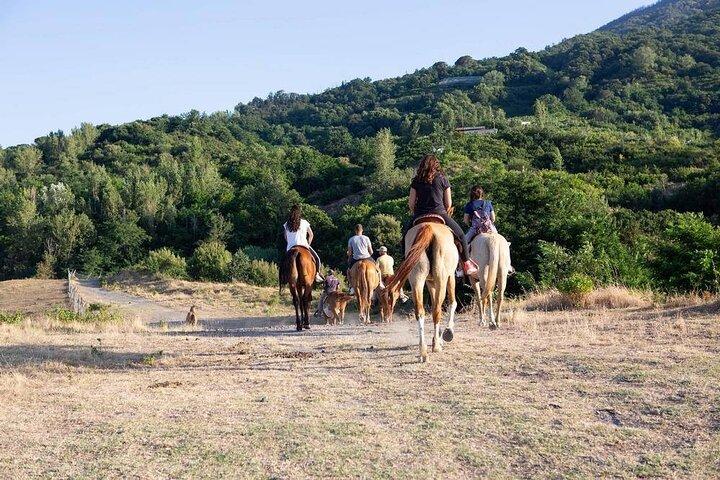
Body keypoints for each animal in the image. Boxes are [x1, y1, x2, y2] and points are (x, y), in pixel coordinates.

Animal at [383, 220, 459, 363]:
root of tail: (428, 227)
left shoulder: (430, 282)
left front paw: (437, 338)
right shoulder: (450, 277)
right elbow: (452, 303)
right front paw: (447, 333)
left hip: (417, 279)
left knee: (420, 311)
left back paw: (423, 351)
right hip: (441, 278)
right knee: (437, 311)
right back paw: (436, 347)